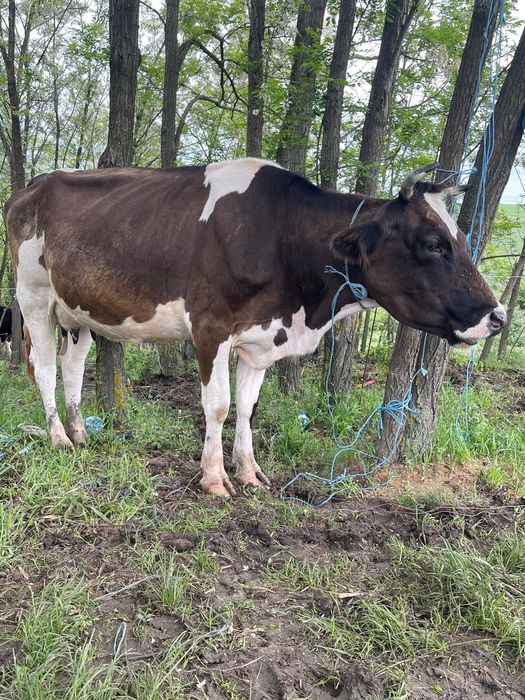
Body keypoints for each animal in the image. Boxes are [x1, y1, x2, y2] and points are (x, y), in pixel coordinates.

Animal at [5, 159, 506, 497]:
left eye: (462, 238)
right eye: (433, 244)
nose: (497, 317)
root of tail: (32, 185)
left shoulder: (262, 338)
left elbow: (247, 408)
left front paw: (248, 472)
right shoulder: (210, 326)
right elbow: (219, 407)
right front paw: (213, 478)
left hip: (78, 312)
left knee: (72, 367)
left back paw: (80, 432)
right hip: (33, 297)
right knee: (45, 368)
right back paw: (58, 438)